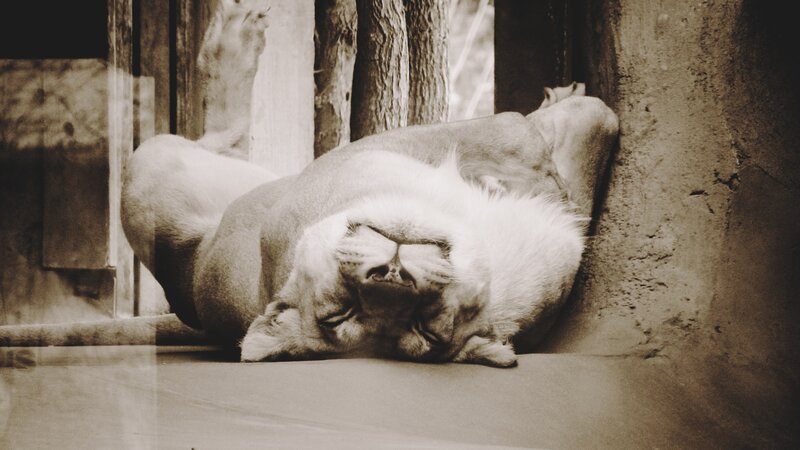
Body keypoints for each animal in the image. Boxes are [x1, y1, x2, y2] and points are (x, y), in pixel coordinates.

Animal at [120, 0, 619, 367]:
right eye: (344, 310)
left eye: (423, 326)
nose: (391, 275)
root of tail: (184, 288)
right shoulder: (383, 146)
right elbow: (526, 131)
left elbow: (580, 154)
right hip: (149, 166)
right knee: (221, 134)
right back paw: (235, 35)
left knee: (237, 142)